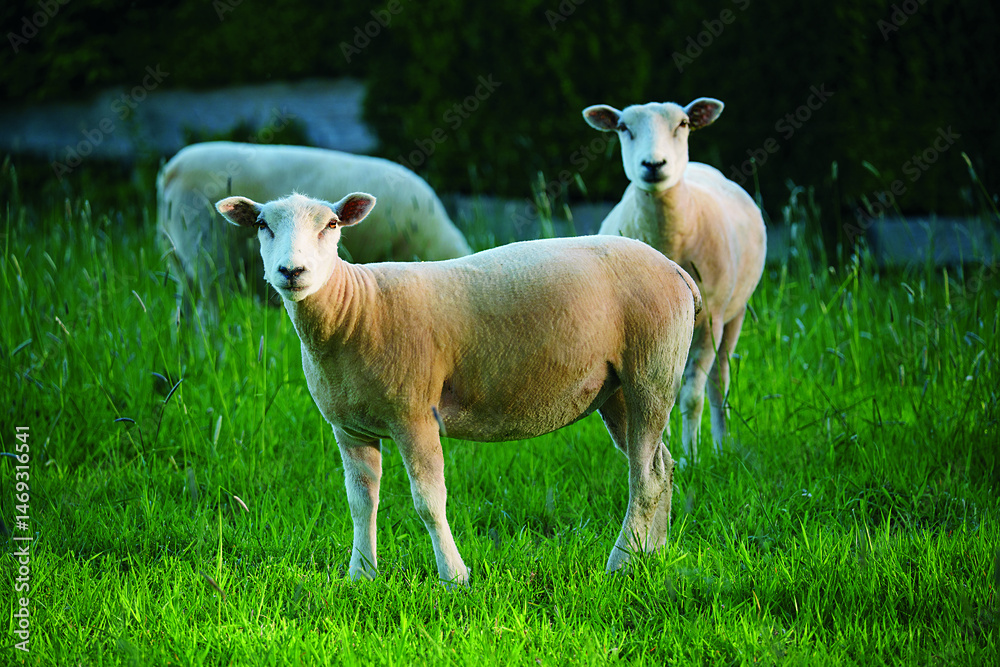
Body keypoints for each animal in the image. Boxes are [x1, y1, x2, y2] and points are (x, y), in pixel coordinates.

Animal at [215, 191, 702, 585]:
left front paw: (454, 577)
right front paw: (361, 575)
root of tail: (676, 270)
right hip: (616, 390)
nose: (291, 271)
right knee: (662, 465)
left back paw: (620, 563)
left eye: (331, 225)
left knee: (645, 477)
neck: (356, 308)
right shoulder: (349, 427)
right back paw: (653, 553)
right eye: (262, 225)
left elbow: (429, 501)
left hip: (652, 372)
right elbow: (360, 502)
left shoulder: (414, 415)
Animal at [583, 98, 767, 465]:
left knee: (718, 381)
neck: (669, 239)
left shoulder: (711, 321)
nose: (654, 164)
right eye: (623, 127)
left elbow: (693, 395)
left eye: (682, 124)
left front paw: (692, 456)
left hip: (734, 313)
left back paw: (721, 443)